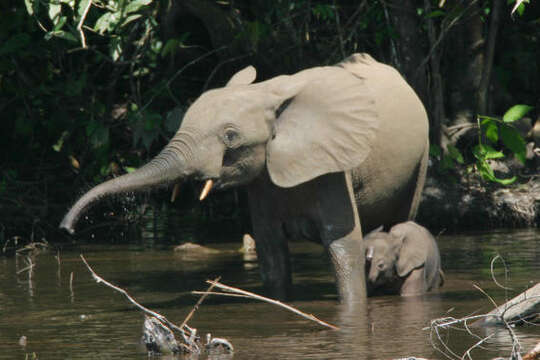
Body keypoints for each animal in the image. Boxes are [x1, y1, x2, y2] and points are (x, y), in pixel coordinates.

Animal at [60, 54, 430, 304]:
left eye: (231, 136)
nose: (67, 229)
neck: (268, 93)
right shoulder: (263, 180)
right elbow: (271, 253)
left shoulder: (332, 168)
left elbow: (343, 247)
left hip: (421, 156)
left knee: (401, 220)